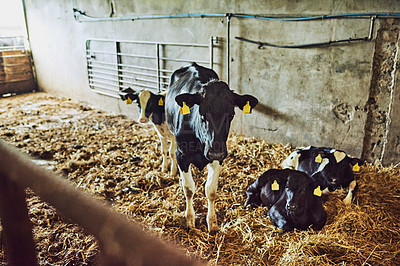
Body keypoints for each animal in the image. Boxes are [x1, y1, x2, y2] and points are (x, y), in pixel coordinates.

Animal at [165, 62, 256, 231]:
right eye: (202, 114)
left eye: (231, 115)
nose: (215, 152)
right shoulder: (182, 156)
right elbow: (188, 189)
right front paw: (190, 219)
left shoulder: (219, 158)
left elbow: (211, 190)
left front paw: (212, 222)